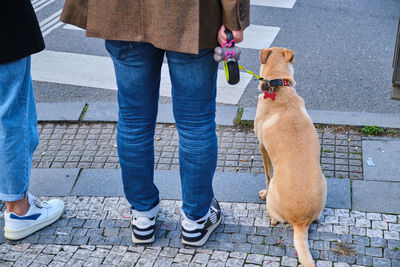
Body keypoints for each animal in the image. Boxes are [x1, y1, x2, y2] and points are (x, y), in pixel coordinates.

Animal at [255, 47, 326, 266]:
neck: (278, 85)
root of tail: (300, 223)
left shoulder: (262, 146)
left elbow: (267, 174)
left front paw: (263, 192)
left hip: (274, 200)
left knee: (274, 216)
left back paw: (271, 215)